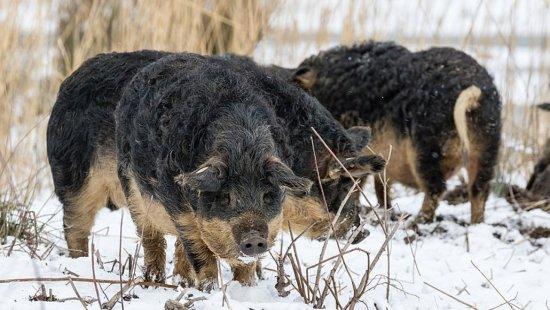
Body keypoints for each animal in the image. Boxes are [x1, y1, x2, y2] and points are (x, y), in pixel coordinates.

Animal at [288, 41, 504, 225]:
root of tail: (473, 89)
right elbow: (379, 183)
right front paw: (385, 209)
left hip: (425, 146)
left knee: (437, 187)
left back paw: (415, 223)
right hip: (487, 144)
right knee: (479, 187)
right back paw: (476, 224)